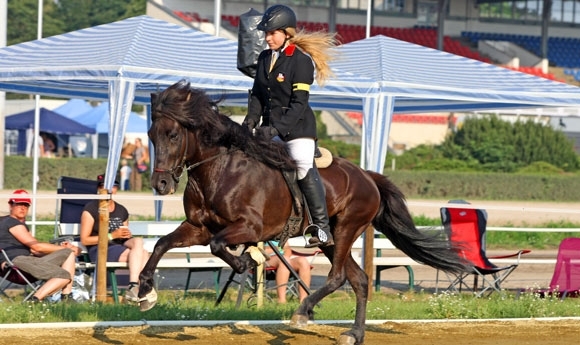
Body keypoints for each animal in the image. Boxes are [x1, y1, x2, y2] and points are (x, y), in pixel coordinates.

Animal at [138, 80, 468, 344]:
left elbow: (218, 246)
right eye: (151, 135)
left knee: (337, 277)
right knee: (359, 279)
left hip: (346, 228)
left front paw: (246, 260)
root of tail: (367, 176)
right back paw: (354, 334)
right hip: (332, 240)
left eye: (173, 135)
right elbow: (162, 244)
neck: (219, 170)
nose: (161, 184)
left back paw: (303, 312)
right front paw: (144, 292)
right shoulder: (198, 227)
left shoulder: (249, 228)